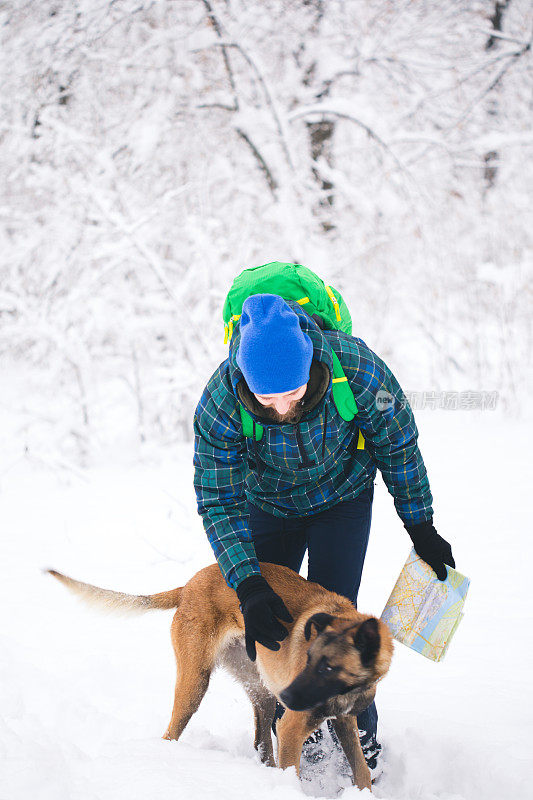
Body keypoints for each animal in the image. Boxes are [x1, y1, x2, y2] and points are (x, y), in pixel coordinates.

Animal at [47, 560, 392, 792]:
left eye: (328, 668)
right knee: (172, 731)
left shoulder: (345, 721)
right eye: (307, 658)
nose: (289, 695)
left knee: (261, 742)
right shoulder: (292, 727)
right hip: (195, 685)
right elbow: (293, 771)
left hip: (261, 691)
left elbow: (361, 771)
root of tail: (188, 585)